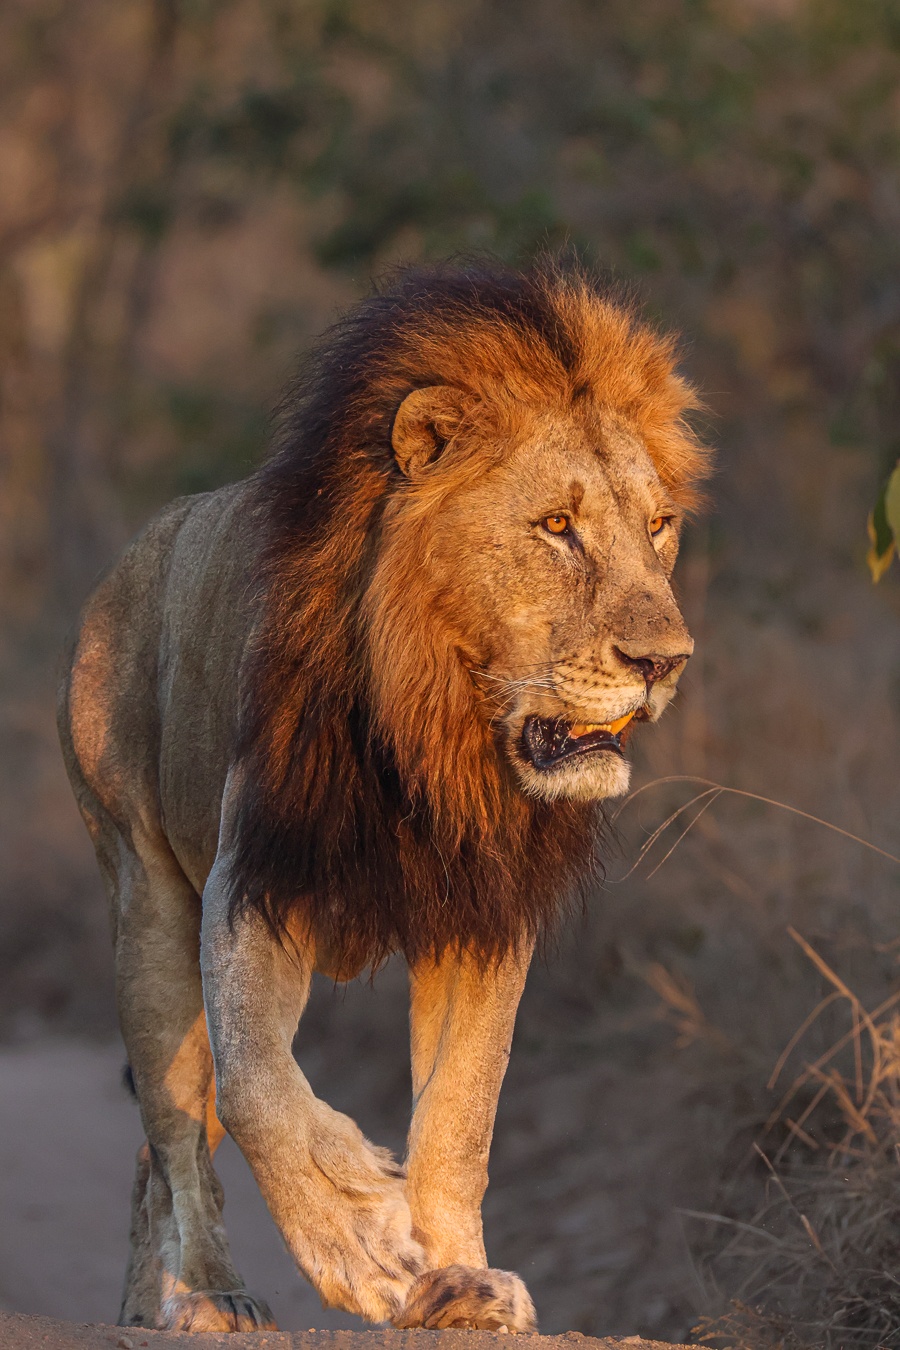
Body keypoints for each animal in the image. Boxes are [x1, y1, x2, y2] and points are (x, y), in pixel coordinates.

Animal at [58, 258, 709, 1334]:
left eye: (658, 528)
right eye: (557, 527)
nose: (665, 662)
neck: (435, 729)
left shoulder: (483, 918)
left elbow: (460, 1119)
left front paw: (460, 1282)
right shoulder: (254, 886)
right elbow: (259, 1091)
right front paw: (361, 1241)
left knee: (160, 1147)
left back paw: (146, 1303)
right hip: (144, 903)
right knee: (177, 1127)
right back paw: (208, 1294)